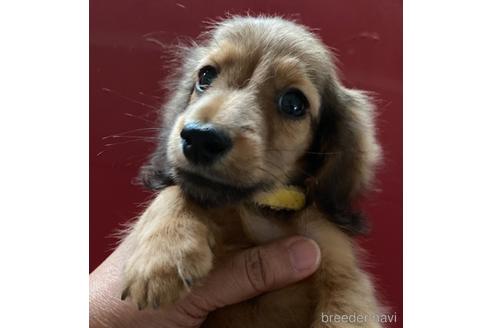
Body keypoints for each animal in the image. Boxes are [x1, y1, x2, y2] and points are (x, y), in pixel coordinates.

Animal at [121, 16, 382, 328]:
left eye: (293, 103)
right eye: (206, 76)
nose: (200, 138)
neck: (261, 210)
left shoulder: (341, 272)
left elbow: (343, 310)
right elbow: (176, 190)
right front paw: (161, 258)